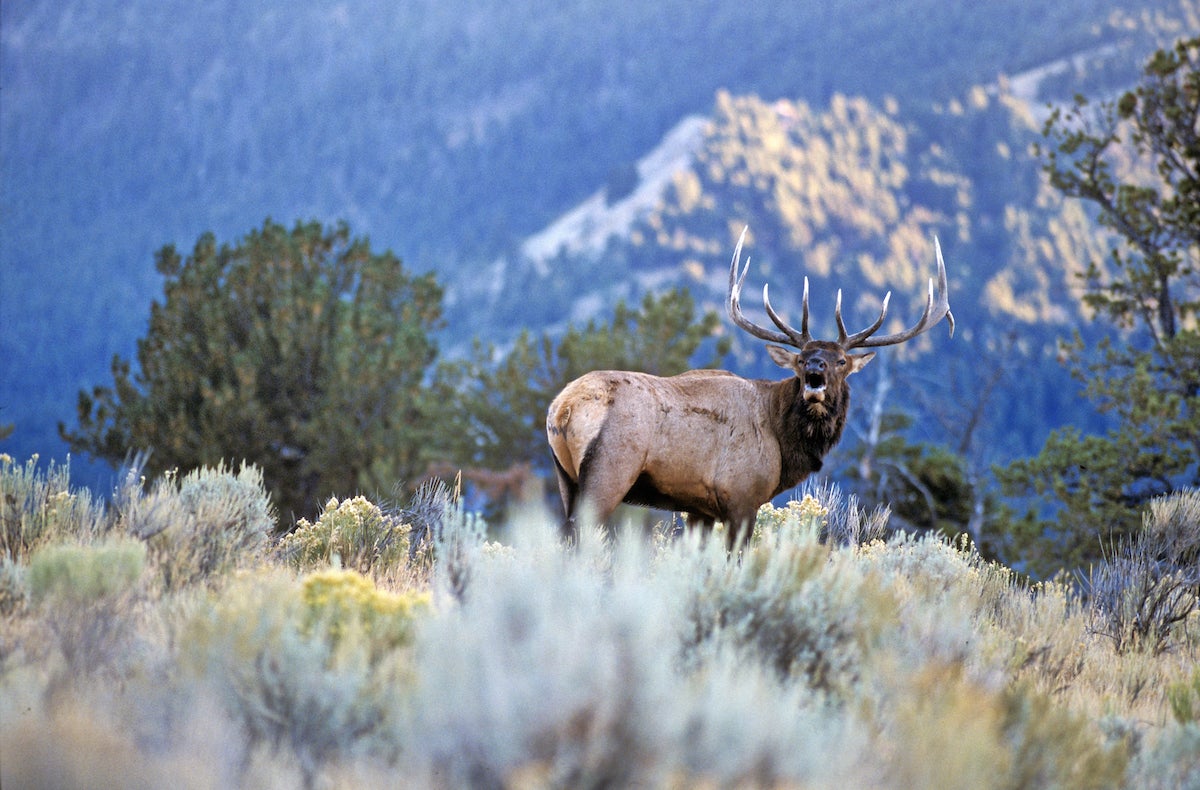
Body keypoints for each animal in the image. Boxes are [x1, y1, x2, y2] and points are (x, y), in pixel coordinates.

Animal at [547, 228, 955, 547]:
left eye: (841, 361)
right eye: (801, 357)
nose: (815, 366)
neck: (783, 443)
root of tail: (562, 408)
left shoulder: (699, 508)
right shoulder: (742, 496)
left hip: (565, 478)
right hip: (610, 470)